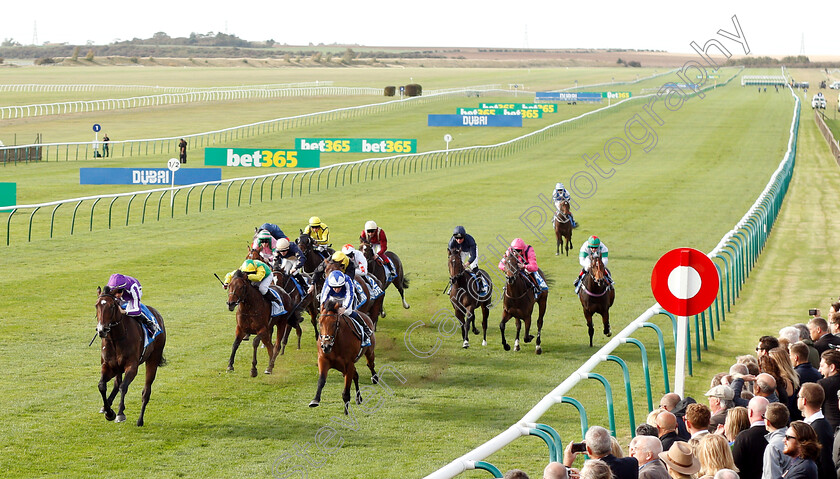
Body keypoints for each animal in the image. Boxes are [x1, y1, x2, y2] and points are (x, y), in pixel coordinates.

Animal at [94, 286, 166, 430]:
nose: (102, 330)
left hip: (153, 358)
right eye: (96, 305)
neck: (116, 338)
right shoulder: (108, 365)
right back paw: (106, 407)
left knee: (146, 391)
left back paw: (140, 420)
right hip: (118, 368)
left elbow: (123, 386)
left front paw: (120, 413)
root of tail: (157, 314)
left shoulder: (131, 366)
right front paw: (109, 412)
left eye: (111, 306)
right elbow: (102, 385)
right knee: (116, 383)